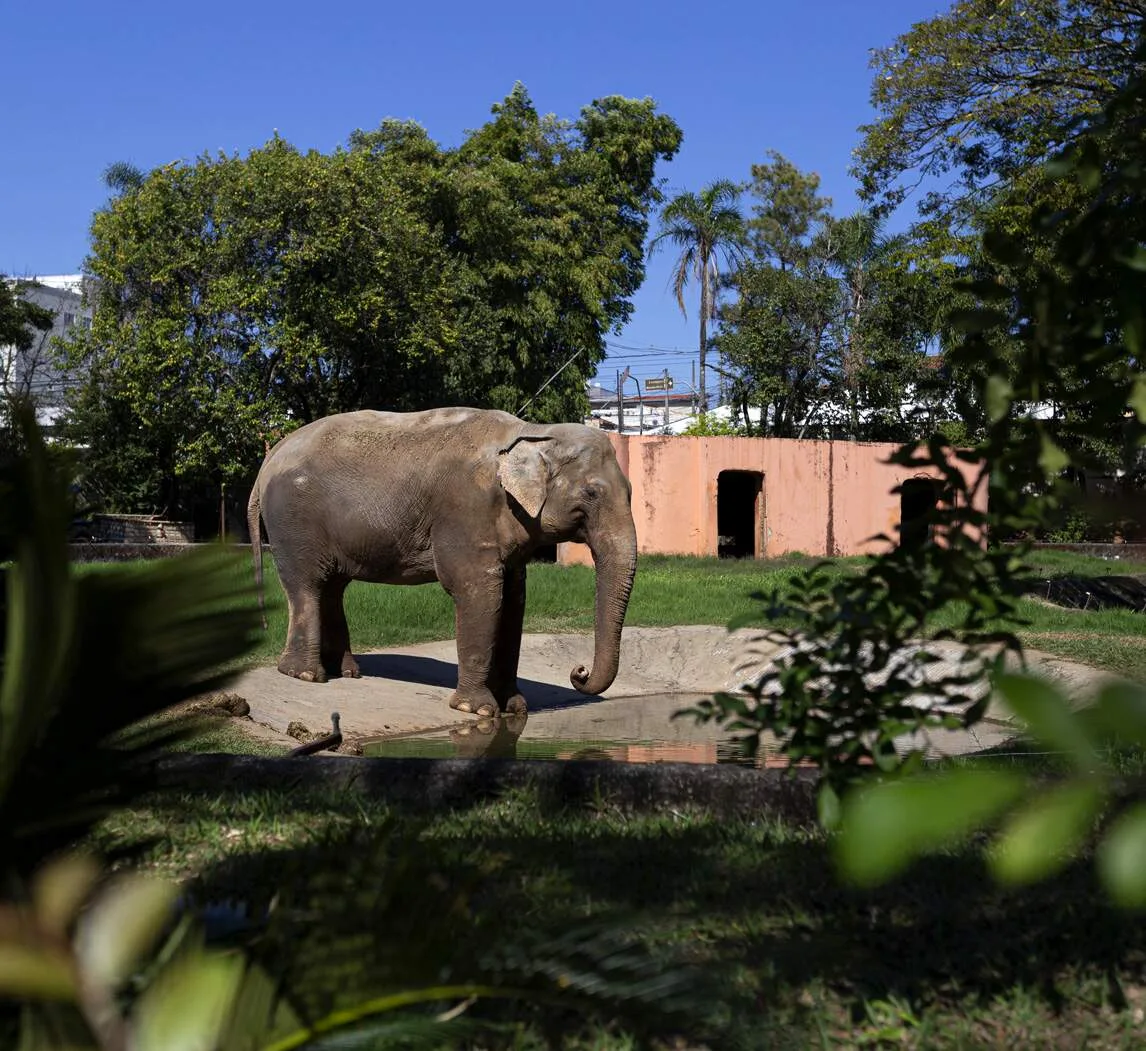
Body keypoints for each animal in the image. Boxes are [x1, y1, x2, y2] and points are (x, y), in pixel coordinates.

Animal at [246, 407, 637, 719]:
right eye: (591, 493)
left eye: (632, 493)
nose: (579, 672)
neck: (530, 432)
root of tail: (271, 455)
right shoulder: (464, 509)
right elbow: (479, 591)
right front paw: (477, 709)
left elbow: (514, 599)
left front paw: (515, 707)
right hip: (293, 521)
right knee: (307, 586)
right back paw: (305, 675)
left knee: (333, 588)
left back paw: (346, 672)